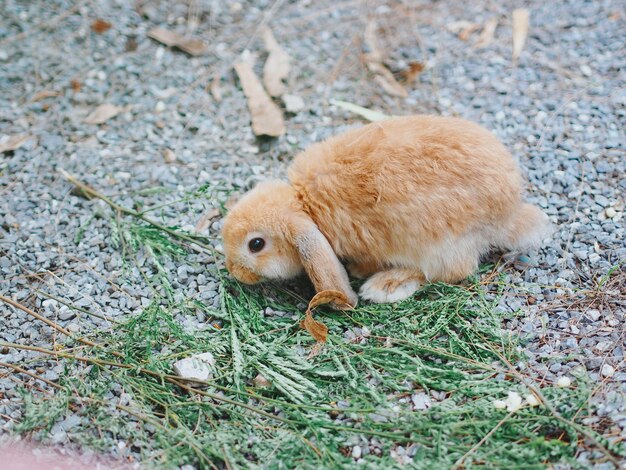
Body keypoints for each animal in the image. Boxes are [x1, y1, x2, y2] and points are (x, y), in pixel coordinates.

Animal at [218, 115, 544, 306]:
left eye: (255, 244)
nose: (235, 272)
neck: (304, 205)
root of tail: (508, 214)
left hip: (437, 244)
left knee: (449, 271)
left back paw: (385, 285)